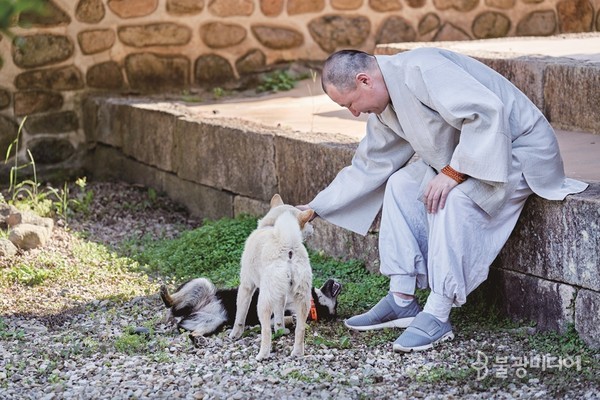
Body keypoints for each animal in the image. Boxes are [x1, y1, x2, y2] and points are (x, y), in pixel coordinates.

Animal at [229, 194, 314, 360]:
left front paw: (235, 334)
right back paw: (297, 352)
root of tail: (288, 248)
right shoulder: (281, 295)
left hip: (263, 301)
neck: (270, 225)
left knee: (266, 330)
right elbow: (280, 315)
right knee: (300, 329)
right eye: (307, 222)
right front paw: (281, 331)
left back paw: (262, 355)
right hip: (303, 299)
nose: (313, 229)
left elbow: (240, 316)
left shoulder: (246, 286)